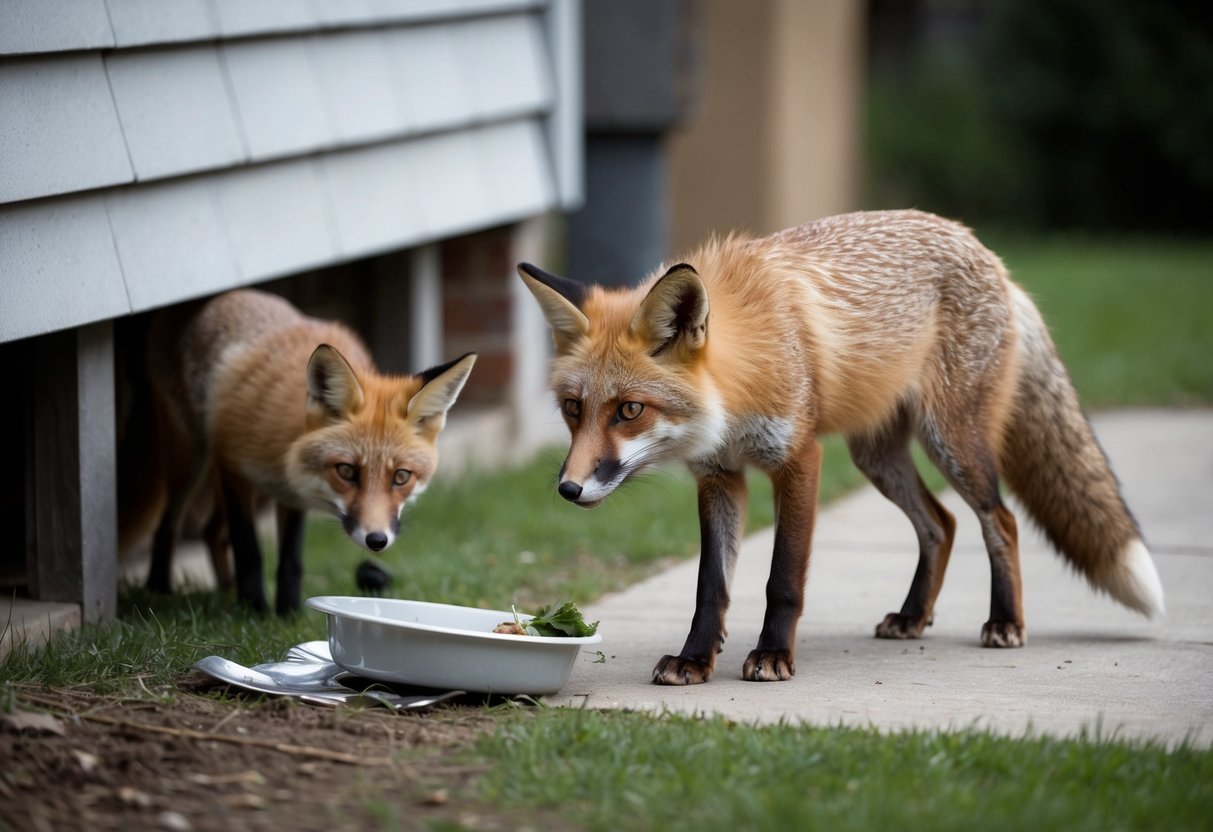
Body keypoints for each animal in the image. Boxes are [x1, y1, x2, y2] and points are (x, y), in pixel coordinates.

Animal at [139, 289, 476, 614]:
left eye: (402, 477)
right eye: (346, 471)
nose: (377, 540)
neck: (286, 457)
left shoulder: (292, 494)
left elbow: (290, 559)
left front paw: (287, 615)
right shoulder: (231, 465)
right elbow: (248, 550)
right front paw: (254, 612)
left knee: (210, 532)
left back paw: (225, 590)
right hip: (192, 459)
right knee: (169, 525)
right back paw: (158, 591)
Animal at [518, 209, 1165, 685]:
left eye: (629, 410)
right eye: (573, 409)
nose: (568, 488)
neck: (741, 380)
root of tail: (987, 253)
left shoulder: (799, 459)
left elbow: (782, 580)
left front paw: (773, 656)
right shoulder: (721, 476)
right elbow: (711, 587)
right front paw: (696, 659)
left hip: (952, 444)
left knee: (998, 519)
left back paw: (1005, 621)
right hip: (876, 457)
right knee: (942, 523)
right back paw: (913, 616)